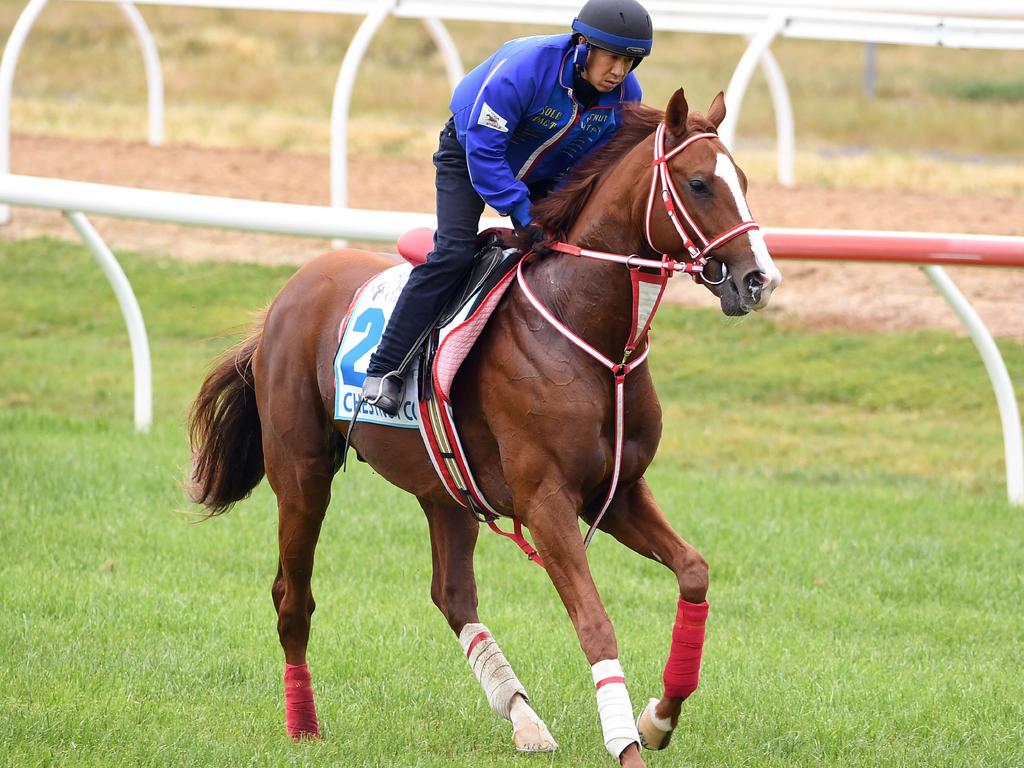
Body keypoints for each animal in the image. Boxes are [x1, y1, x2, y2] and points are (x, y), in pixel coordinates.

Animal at [190, 87, 782, 765]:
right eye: (699, 183)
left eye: (743, 180)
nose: (759, 279)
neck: (590, 336)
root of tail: (287, 294)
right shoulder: (546, 502)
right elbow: (596, 623)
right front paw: (628, 744)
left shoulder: (620, 492)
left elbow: (694, 572)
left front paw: (659, 718)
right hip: (302, 473)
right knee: (293, 597)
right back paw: (303, 724)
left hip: (443, 487)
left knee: (451, 594)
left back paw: (524, 718)